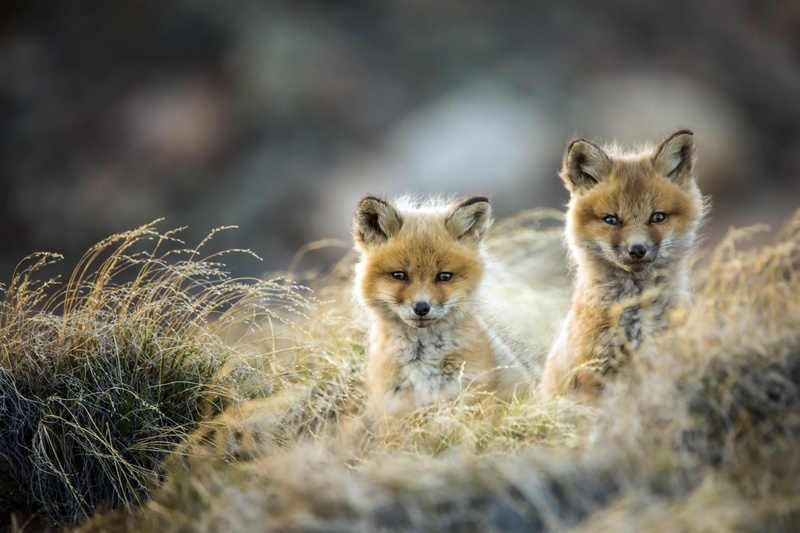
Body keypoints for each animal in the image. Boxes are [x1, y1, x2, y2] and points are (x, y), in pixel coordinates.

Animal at [352, 195, 534, 425]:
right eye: (399, 275)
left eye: (444, 276)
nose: (421, 307)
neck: (421, 360)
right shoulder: (395, 410)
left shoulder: (471, 396)